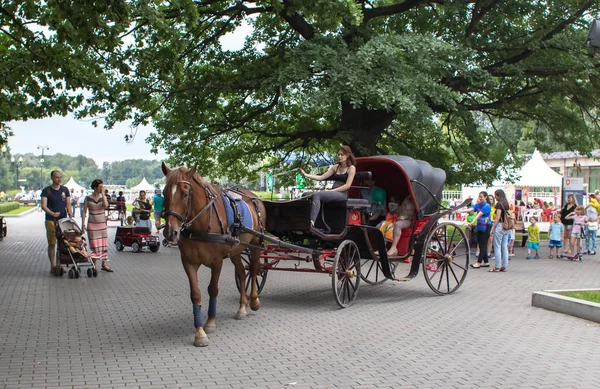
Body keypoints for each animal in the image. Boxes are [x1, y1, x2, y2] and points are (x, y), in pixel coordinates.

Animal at [162, 161, 264, 346]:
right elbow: (195, 294)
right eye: (164, 193)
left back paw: (253, 300)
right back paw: (242, 307)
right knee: (241, 272)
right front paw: (199, 331)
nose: (170, 232)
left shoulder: (217, 261)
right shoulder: (188, 262)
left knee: (253, 271)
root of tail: (253, 196)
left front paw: (209, 323)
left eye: (185, 194)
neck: (201, 225)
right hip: (236, 249)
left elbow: (213, 289)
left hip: (255, 245)